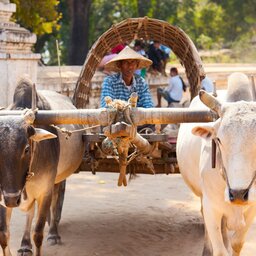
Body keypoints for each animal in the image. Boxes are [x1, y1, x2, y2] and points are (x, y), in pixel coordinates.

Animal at [177, 72, 256, 256]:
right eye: (218, 139)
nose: (239, 194)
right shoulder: (211, 207)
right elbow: (220, 250)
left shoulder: (252, 209)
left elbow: (237, 243)